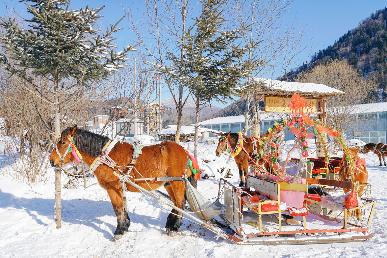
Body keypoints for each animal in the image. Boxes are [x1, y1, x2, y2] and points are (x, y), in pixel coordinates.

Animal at [49, 126, 194, 239]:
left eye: (62, 142)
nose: (51, 160)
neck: (107, 158)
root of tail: (184, 150)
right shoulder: (119, 188)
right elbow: (122, 207)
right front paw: (125, 226)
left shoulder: (113, 188)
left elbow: (118, 208)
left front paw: (119, 230)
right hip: (168, 184)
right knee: (176, 203)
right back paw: (170, 224)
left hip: (177, 182)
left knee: (180, 203)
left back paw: (174, 227)